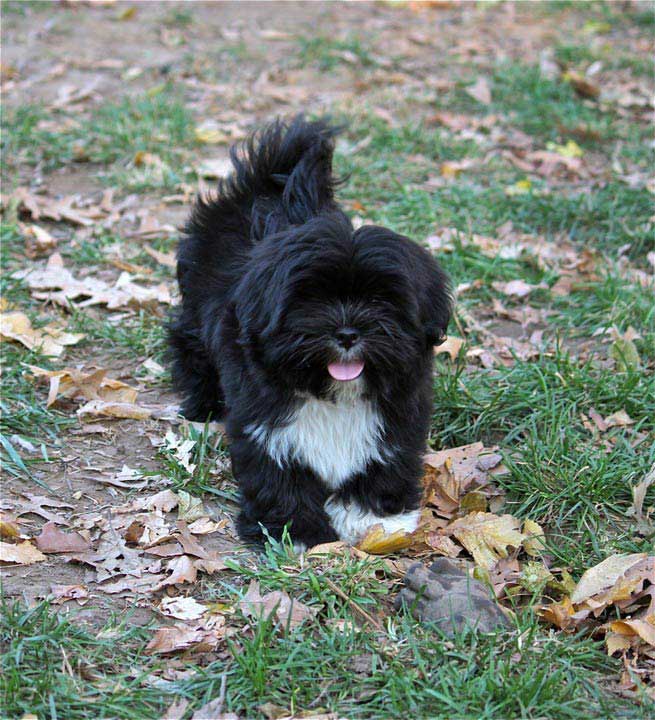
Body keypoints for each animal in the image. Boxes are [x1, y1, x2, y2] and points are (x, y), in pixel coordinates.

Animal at [169, 115, 454, 548]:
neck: (330, 391)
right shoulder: (263, 424)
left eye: (380, 300)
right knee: (190, 347)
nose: (348, 332)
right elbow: (278, 473)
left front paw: (374, 518)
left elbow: (386, 460)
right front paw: (294, 528)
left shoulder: (399, 415)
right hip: (194, 314)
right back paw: (203, 404)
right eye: (310, 300)